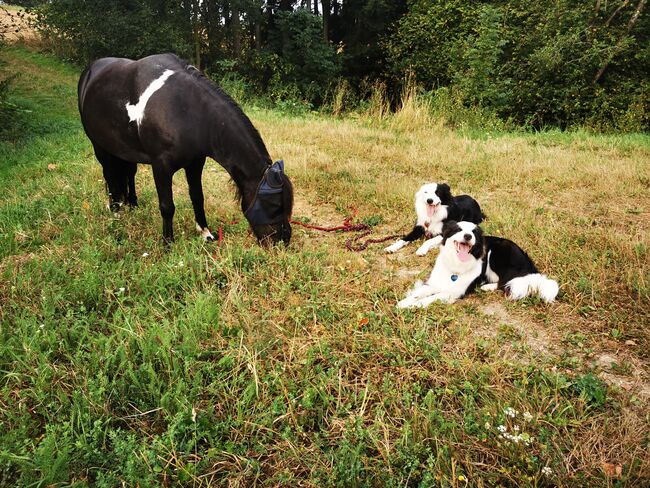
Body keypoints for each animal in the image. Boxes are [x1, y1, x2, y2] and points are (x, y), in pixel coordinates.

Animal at [74, 53, 292, 244]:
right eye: (274, 205)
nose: (283, 239)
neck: (186, 111)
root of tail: (91, 71)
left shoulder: (195, 163)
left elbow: (197, 197)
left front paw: (206, 233)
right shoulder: (161, 166)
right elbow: (167, 206)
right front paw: (168, 242)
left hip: (125, 151)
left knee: (128, 172)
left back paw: (132, 204)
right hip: (100, 146)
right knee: (110, 176)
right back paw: (116, 212)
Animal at [394, 222, 556, 308]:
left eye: (473, 232)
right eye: (459, 230)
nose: (467, 236)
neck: (456, 265)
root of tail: (529, 266)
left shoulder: (454, 292)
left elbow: (429, 298)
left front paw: (414, 306)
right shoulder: (435, 283)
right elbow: (419, 293)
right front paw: (404, 303)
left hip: (496, 253)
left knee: (505, 283)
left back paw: (487, 286)